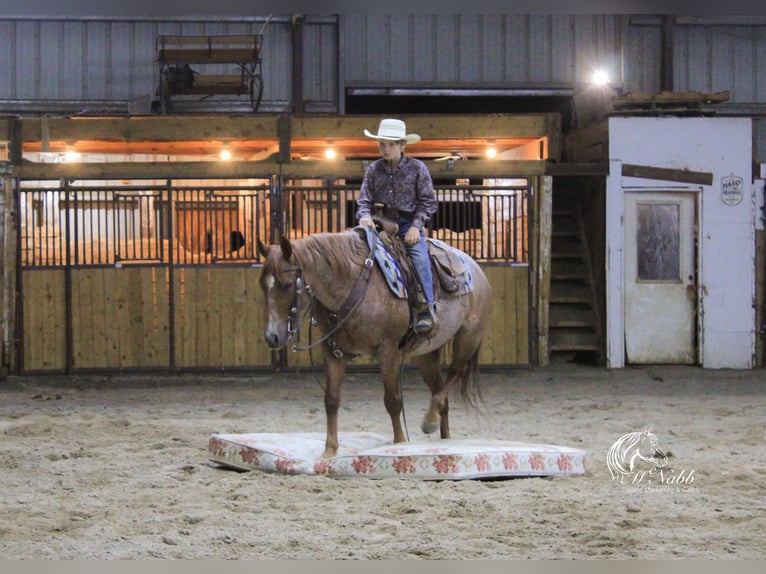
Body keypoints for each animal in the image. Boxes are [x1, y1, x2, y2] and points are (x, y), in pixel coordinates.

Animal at [255, 228, 496, 460]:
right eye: (262, 285)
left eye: (287, 284)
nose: (271, 337)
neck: (352, 284)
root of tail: (475, 268)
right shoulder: (334, 351)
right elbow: (331, 400)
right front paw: (329, 452)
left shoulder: (388, 351)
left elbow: (392, 401)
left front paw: (399, 444)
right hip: (427, 354)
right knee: (441, 395)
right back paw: (443, 436)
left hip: (468, 336)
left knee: (456, 372)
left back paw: (429, 420)